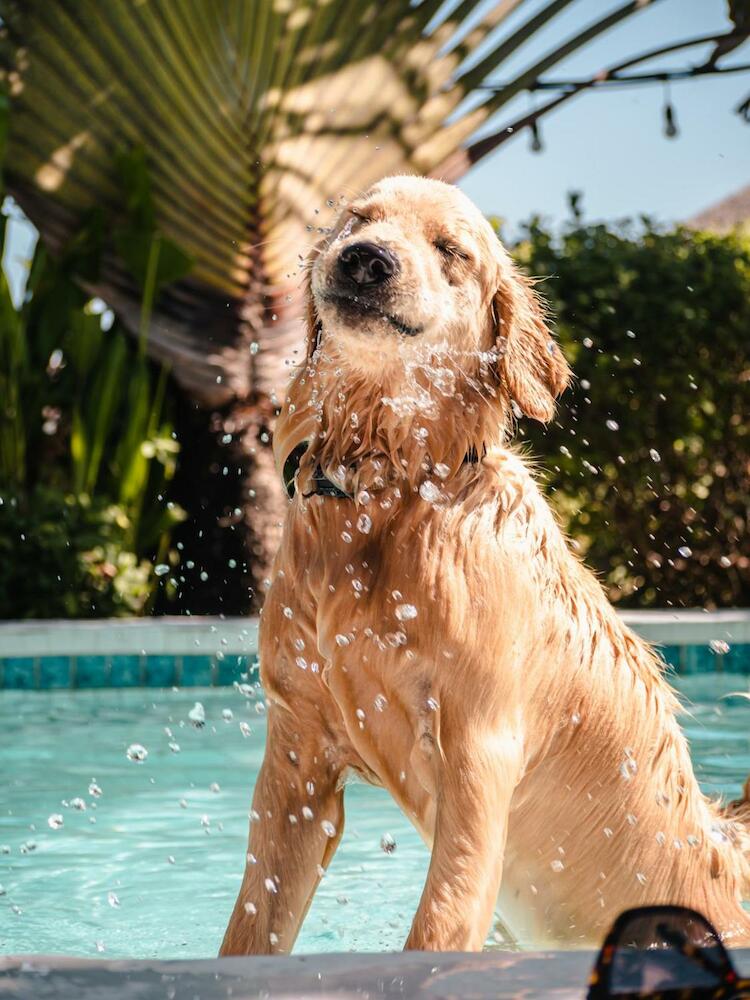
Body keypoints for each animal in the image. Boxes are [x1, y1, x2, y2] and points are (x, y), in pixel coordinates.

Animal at [220, 176, 748, 956]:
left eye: (451, 249)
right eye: (358, 219)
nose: (365, 259)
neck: (388, 485)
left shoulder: (479, 751)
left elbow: (440, 922)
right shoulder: (298, 759)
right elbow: (251, 930)